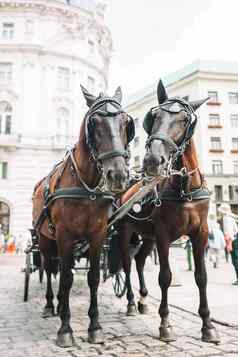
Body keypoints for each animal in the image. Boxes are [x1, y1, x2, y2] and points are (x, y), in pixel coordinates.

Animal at [32, 85, 135, 346]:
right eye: (94, 122)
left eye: (125, 122)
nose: (118, 175)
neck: (86, 186)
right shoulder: (64, 236)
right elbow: (66, 278)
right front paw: (65, 329)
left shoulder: (97, 235)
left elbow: (93, 277)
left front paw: (95, 326)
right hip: (45, 239)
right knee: (49, 268)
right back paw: (50, 305)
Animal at [116, 80, 220, 342]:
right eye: (154, 117)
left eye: (184, 119)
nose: (153, 160)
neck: (185, 189)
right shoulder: (163, 235)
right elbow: (165, 277)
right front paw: (165, 323)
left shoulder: (200, 234)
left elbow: (201, 277)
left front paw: (207, 325)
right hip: (127, 233)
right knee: (127, 264)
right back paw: (131, 302)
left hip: (148, 237)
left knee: (140, 261)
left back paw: (143, 299)